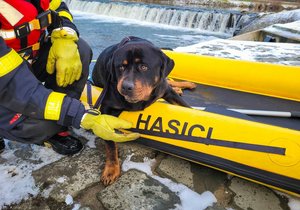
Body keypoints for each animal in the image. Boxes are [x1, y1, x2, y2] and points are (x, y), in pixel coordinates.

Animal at [92, 36, 195, 185]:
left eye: (144, 67)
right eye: (121, 67)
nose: (126, 87)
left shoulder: (166, 90)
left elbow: (185, 106)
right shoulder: (106, 107)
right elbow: (110, 142)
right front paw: (111, 169)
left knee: (170, 80)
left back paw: (185, 85)